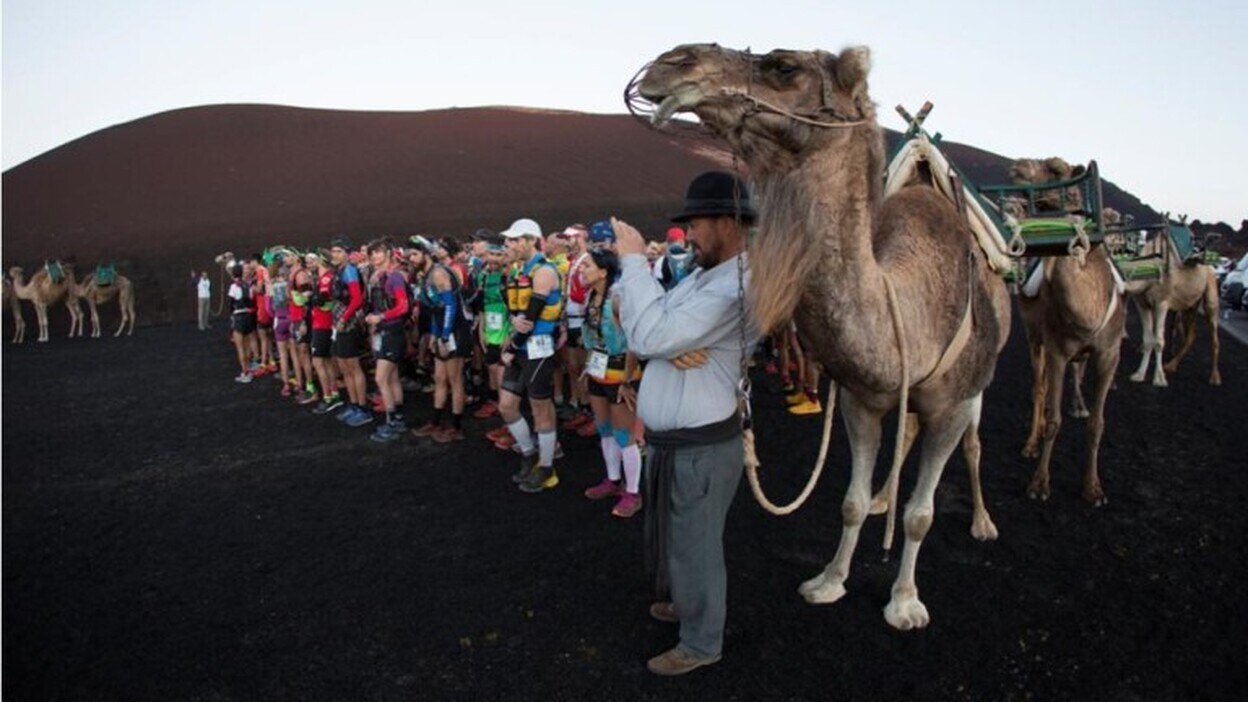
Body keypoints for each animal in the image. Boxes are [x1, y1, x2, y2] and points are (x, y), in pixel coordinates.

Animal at [633, 42, 1013, 629]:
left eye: (783, 66)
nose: (670, 62)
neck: (912, 305)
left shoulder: (952, 405)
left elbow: (922, 515)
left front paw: (904, 602)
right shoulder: (861, 397)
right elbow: (849, 501)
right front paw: (830, 580)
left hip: (978, 385)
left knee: (971, 445)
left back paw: (982, 521)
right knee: (905, 430)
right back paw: (884, 498)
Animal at [1123, 227, 1218, 384]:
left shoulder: (1162, 302)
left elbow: (1159, 341)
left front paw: (1159, 378)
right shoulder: (1142, 303)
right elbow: (1148, 339)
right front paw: (1139, 374)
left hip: (1211, 294)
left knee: (1214, 335)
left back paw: (1215, 377)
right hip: (1189, 305)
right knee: (1191, 334)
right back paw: (1171, 365)